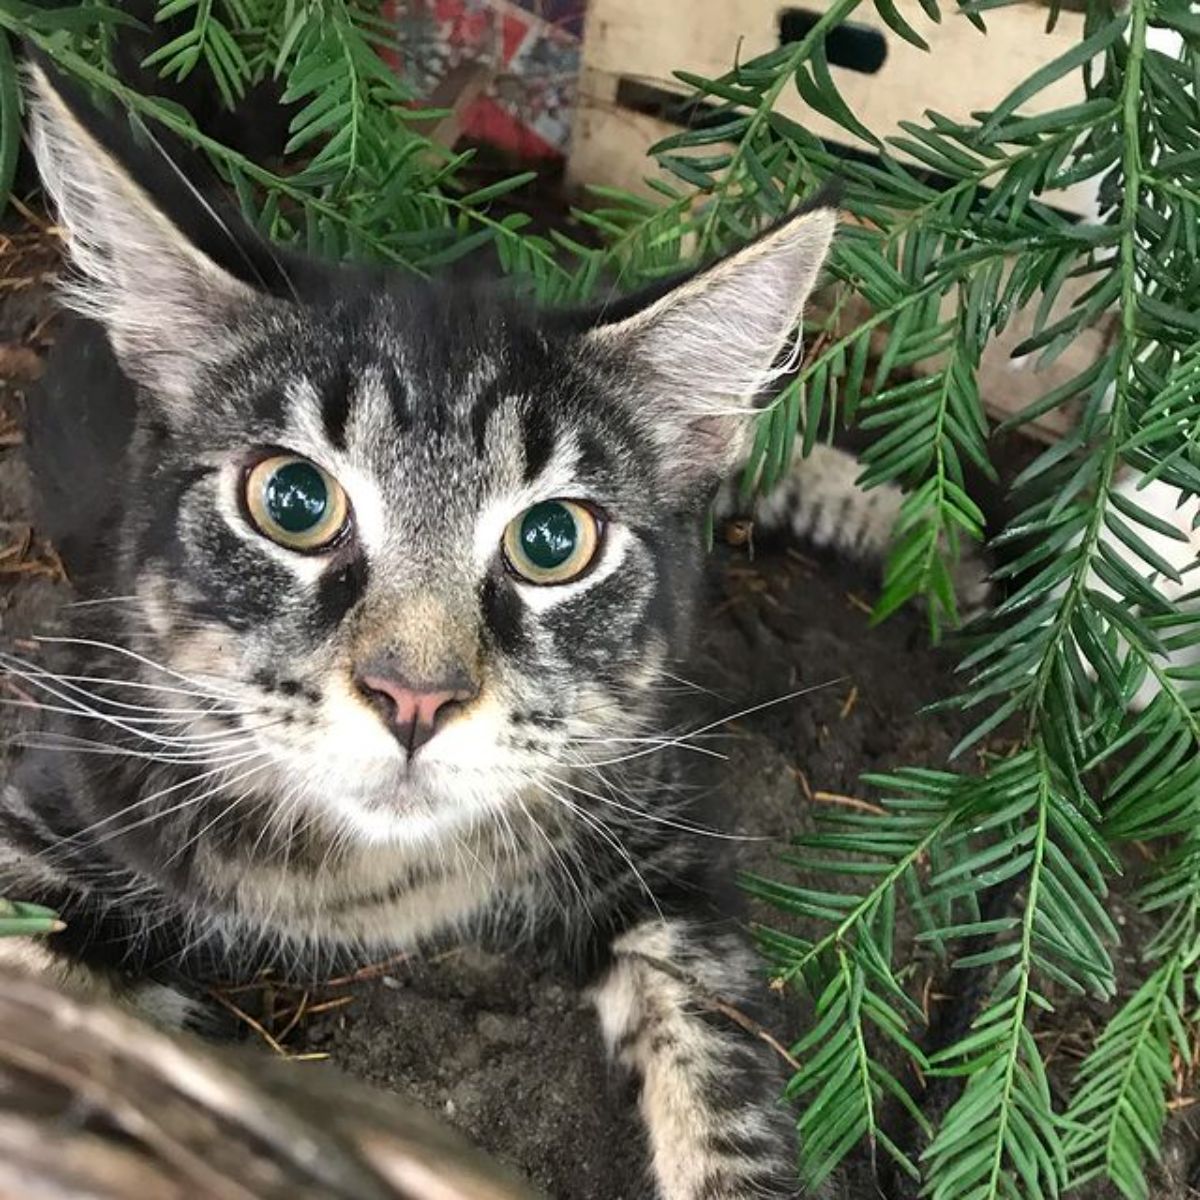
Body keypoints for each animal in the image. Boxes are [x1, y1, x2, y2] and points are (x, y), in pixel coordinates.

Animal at [0, 63, 945, 1200]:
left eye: (552, 539)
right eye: (291, 501)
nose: (417, 696)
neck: (381, 882)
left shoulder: (663, 833)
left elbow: (724, 1070)